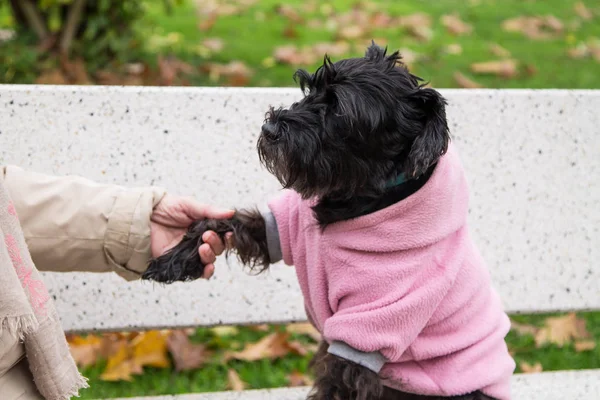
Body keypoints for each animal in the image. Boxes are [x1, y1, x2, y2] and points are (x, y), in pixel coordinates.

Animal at [145, 42, 516, 398]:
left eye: (339, 109)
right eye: (309, 89)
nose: (269, 127)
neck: (352, 200)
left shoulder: (366, 330)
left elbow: (336, 384)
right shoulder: (281, 229)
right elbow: (223, 220)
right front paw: (173, 261)